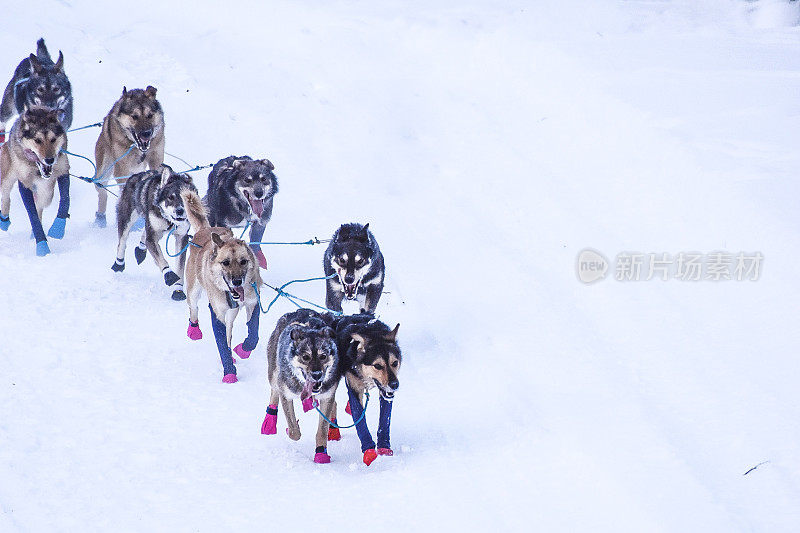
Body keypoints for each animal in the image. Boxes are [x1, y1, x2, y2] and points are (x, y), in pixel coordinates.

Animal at [0, 106, 70, 256]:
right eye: (37, 140)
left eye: (53, 139)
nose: (49, 160)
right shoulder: (24, 183)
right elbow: (33, 217)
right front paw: (42, 246)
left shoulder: (63, 171)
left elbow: (65, 200)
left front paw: (58, 228)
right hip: (7, 177)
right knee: (6, 195)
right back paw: (4, 220)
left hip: (47, 191)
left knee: (41, 202)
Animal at [92, 87, 164, 227]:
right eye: (134, 116)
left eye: (150, 115)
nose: (146, 134)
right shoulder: (122, 168)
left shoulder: (156, 158)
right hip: (104, 170)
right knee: (102, 191)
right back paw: (100, 218)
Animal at [180, 189, 262, 380]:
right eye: (225, 263)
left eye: (243, 261)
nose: (237, 281)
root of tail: (205, 229)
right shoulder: (217, 312)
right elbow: (221, 344)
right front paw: (229, 372)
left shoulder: (253, 302)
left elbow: (253, 334)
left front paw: (243, 350)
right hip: (193, 290)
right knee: (193, 308)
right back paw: (193, 330)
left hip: (232, 313)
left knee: (229, 331)